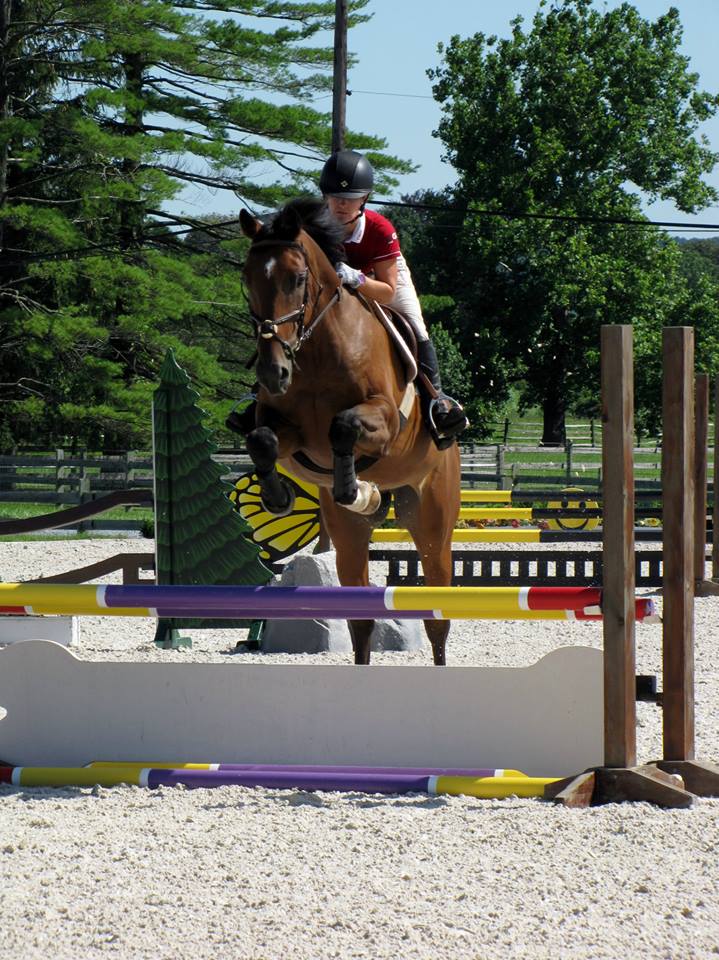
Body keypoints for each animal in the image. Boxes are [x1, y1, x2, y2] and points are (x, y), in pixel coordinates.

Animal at [239, 198, 461, 665]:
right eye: (247, 279)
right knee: (361, 620)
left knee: (438, 617)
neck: (316, 348)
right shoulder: (289, 431)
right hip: (349, 536)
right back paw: (368, 498)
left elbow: (343, 425)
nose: (272, 373)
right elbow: (261, 439)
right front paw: (277, 497)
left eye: (297, 278)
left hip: (433, 521)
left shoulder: (385, 422)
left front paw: (349, 486)